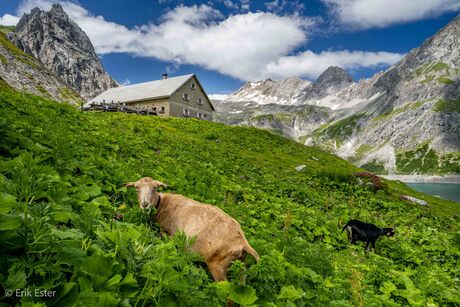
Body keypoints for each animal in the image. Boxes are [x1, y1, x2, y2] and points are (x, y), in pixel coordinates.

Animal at [126, 177, 258, 282]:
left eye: (154, 187)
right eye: (136, 188)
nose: (145, 205)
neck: (161, 204)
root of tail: (243, 243)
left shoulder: (169, 233)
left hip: (217, 265)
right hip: (241, 265)